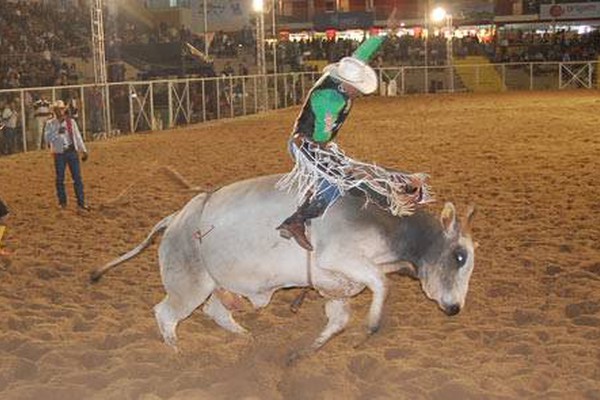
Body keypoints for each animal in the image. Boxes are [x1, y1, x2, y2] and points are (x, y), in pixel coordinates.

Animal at [91, 173, 476, 354]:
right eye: (460, 256)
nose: (455, 308)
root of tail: (176, 219)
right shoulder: (340, 257)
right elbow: (382, 283)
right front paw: (372, 326)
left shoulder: (337, 287)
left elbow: (338, 320)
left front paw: (302, 353)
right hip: (189, 286)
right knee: (166, 314)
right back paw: (176, 353)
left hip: (219, 285)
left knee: (215, 312)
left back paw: (246, 338)